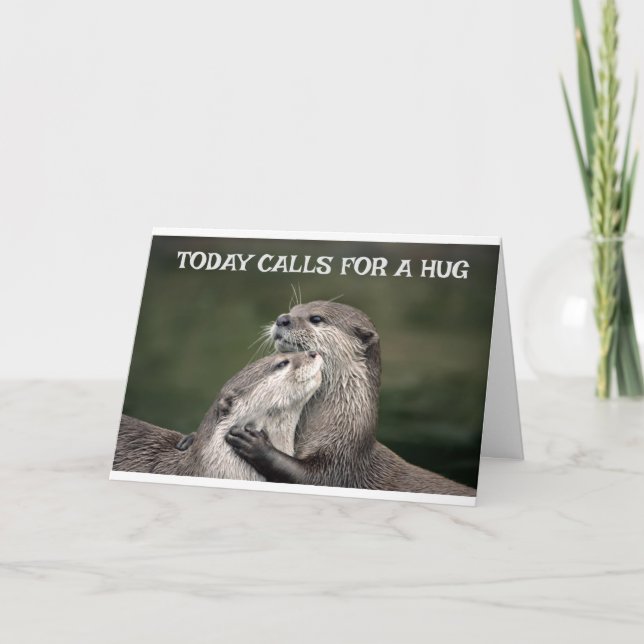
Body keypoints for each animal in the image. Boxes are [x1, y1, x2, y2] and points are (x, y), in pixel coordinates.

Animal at [225, 301, 475, 496]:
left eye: (316, 318)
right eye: (292, 310)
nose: (282, 319)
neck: (345, 427)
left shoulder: (341, 463)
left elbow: (309, 477)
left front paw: (256, 444)